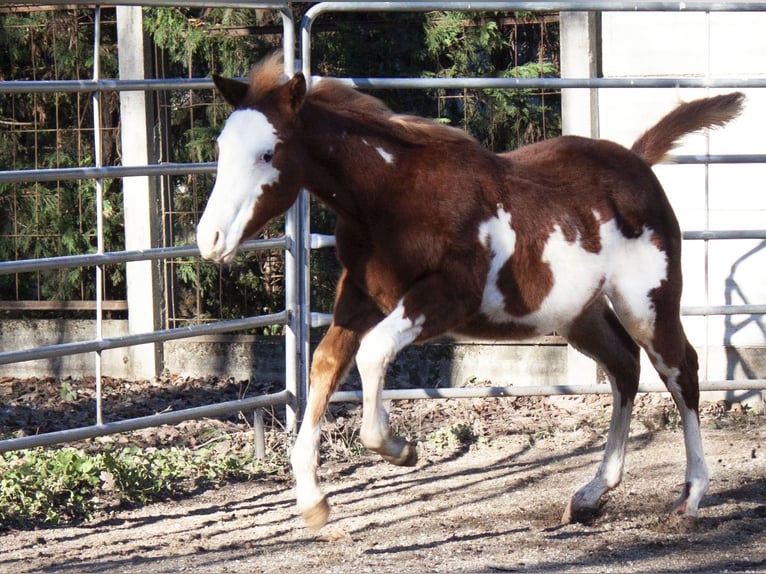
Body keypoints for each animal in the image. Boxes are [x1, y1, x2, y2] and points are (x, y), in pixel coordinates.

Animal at [196, 53, 744, 532]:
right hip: (579, 314)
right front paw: (313, 501)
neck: (394, 197)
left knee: (680, 370)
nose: (210, 239)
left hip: (648, 302)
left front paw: (399, 449)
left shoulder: (447, 298)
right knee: (624, 367)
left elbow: (371, 354)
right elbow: (326, 365)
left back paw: (690, 496)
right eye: (220, 149)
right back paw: (591, 494)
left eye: (268, 152)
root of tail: (637, 161)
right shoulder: (359, 295)